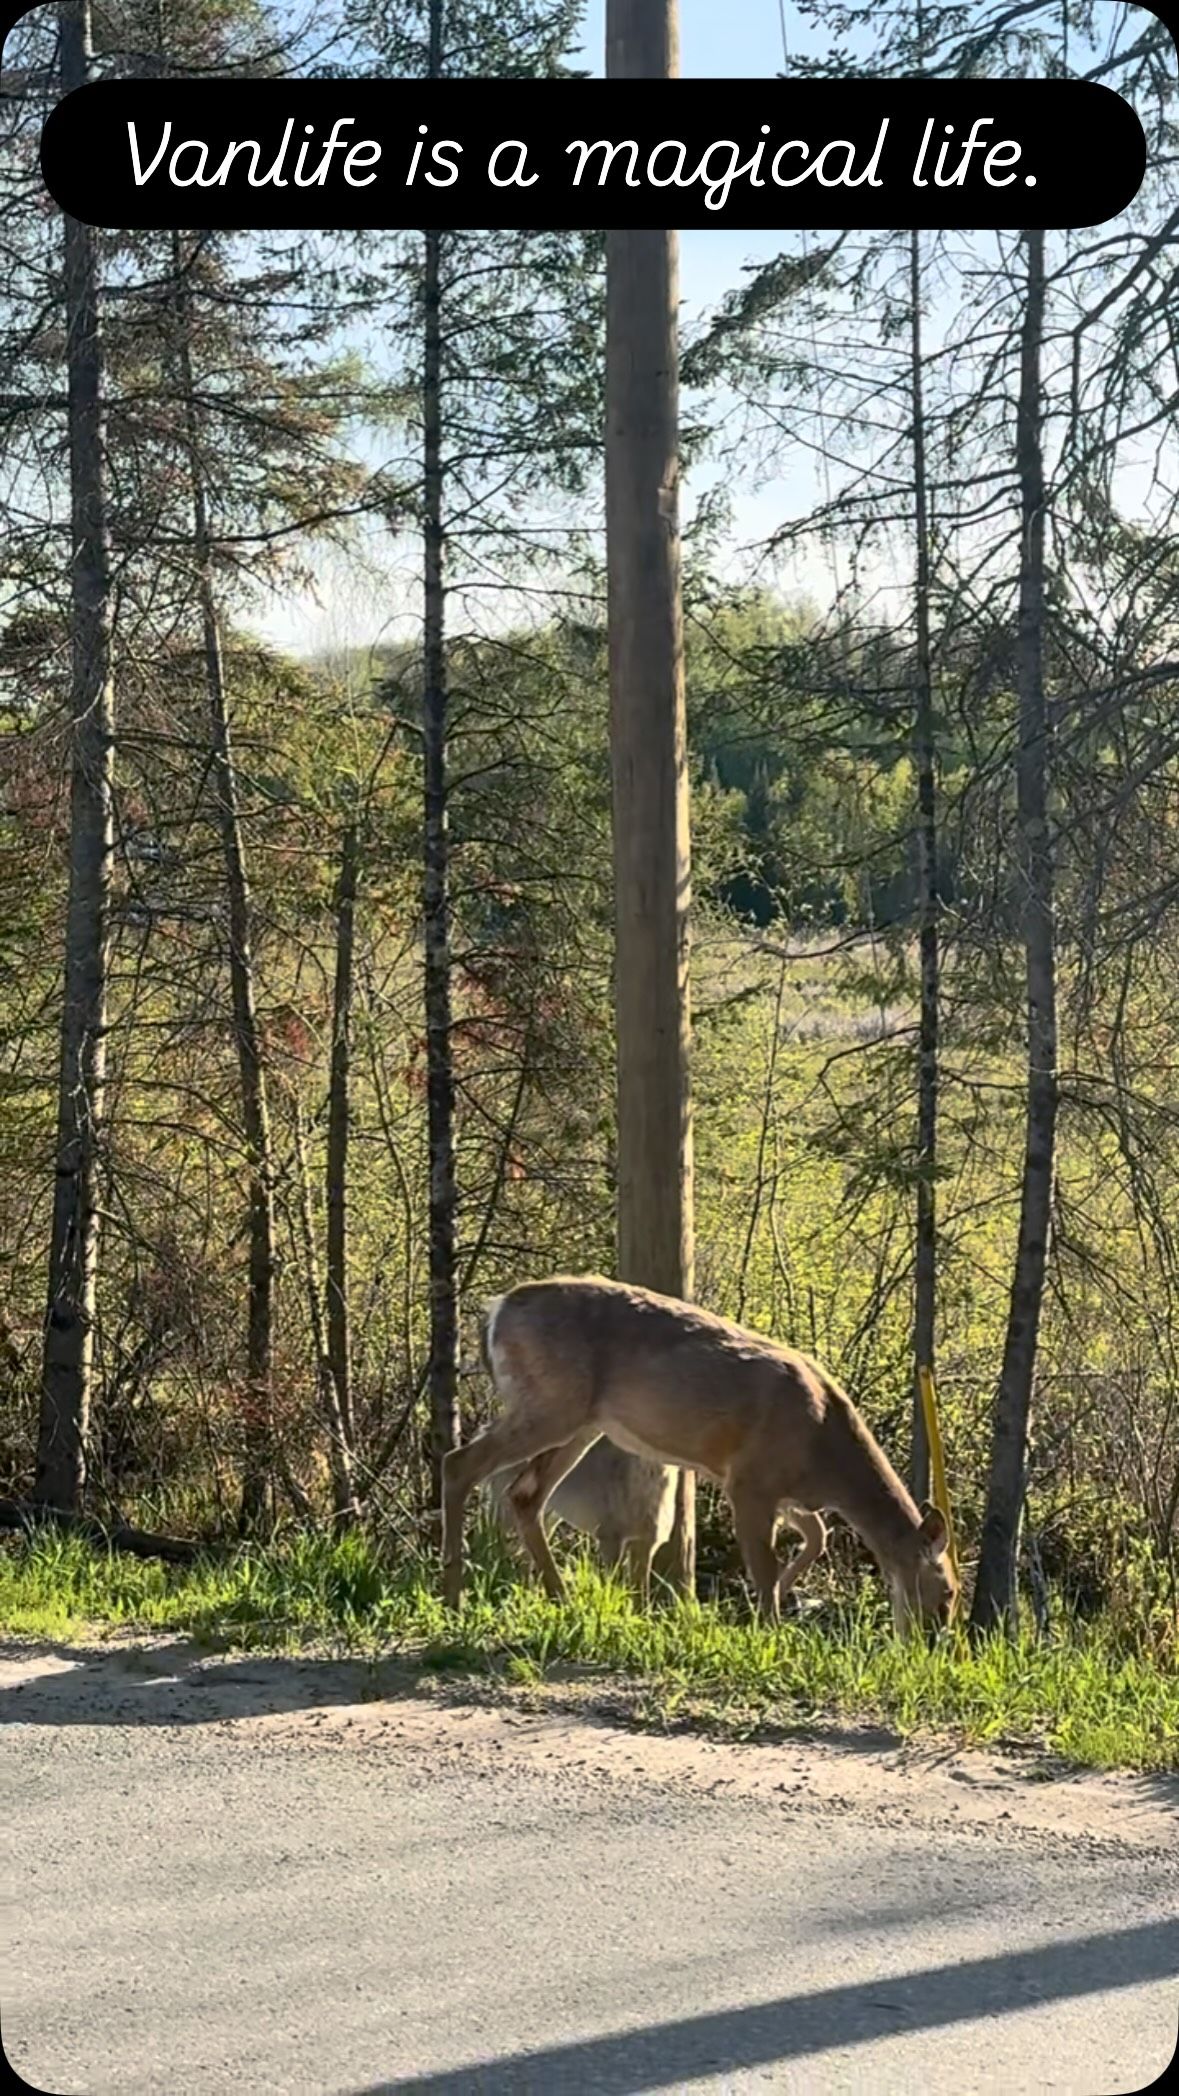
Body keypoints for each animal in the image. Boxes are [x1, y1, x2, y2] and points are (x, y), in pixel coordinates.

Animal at [442, 1275, 958, 1633]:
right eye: (948, 1593)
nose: (931, 1644)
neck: (826, 1452)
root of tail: (496, 1310)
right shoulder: (750, 1479)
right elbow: (765, 1563)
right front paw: (768, 1630)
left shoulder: (786, 1492)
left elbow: (818, 1536)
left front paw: (774, 1606)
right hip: (551, 1404)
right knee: (460, 1464)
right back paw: (453, 1596)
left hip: (577, 1421)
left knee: (524, 1494)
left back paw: (560, 1598)